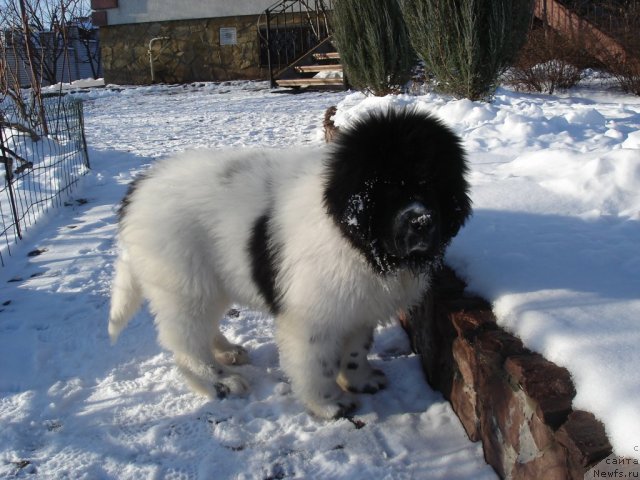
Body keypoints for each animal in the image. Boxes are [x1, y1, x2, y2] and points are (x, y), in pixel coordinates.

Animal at [109, 107, 470, 418]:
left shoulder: (359, 305)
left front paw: (360, 380)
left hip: (210, 282)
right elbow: (316, 363)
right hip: (183, 283)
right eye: (390, 189)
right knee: (185, 342)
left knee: (202, 327)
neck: (355, 238)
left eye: (434, 185)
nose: (422, 222)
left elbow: (356, 349)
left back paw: (227, 352)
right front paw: (329, 404)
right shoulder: (313, 314)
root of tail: (139, 189)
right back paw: (219, 381)